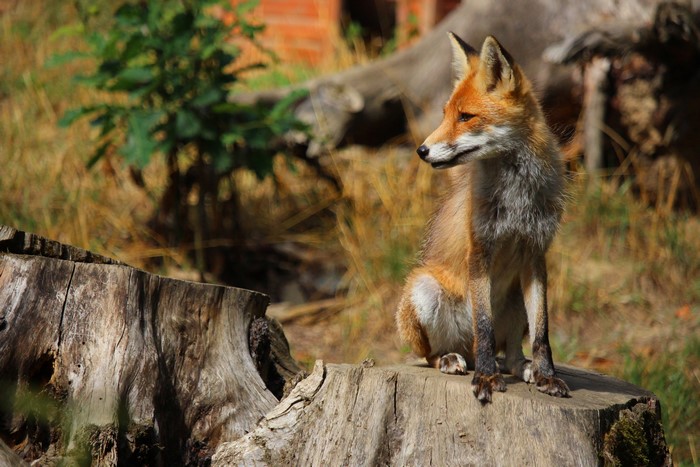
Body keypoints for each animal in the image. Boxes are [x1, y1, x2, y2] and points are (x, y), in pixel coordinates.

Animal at [396, 33, 570, 403]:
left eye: (466, 116)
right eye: (446, 115)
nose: (421, 150)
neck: (517, 196)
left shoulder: (536, 254)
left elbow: (543, 333)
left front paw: (548, 376)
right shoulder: (480, 251)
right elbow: (485, 327)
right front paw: (487, 379)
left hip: (515, 300)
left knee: (513, 352)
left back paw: (524, 368)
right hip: (423, 290)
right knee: (439, 353)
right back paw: (454, 360)